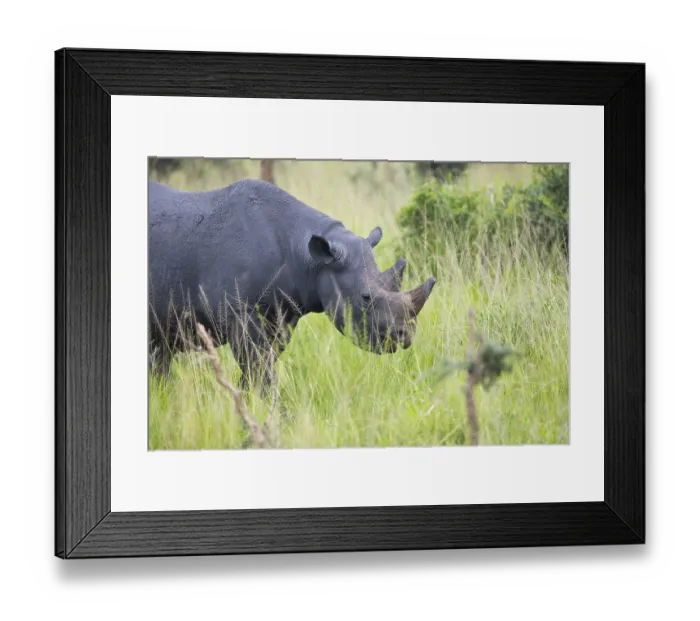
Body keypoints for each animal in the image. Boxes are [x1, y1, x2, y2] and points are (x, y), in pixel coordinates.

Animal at [148, 178, 437, 395]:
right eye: (365, 298)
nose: (404, 336)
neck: (310, 258)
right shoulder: (239, 312)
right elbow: (258, 366)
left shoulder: (283, 314)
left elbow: (261, 366)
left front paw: (251, 401)